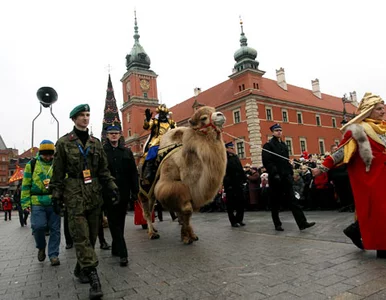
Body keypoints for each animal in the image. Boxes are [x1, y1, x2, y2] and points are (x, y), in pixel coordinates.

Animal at [138, 105, 226, 244]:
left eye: (214, 110)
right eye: (203, 118)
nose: (220, 115)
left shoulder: (190, 191)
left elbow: (186, 212)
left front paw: (191, 235)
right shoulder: (170, 184)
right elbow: (186, 210)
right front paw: (185, 236)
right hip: (145, 190)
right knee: (147, 210)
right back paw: (152, 233)